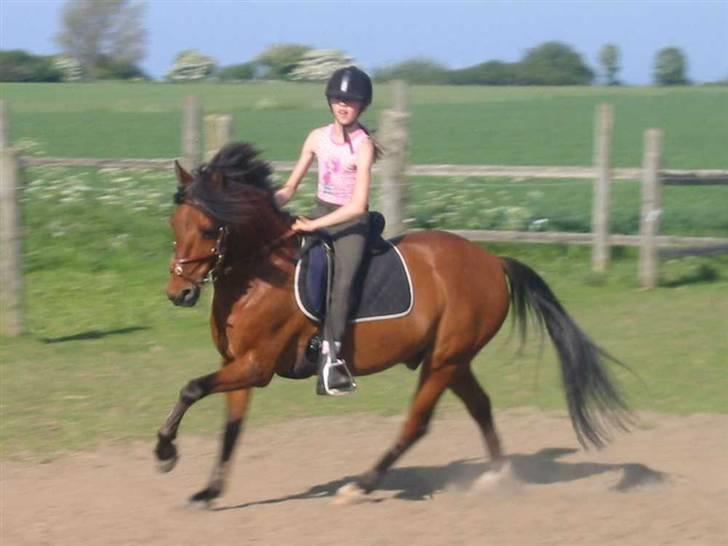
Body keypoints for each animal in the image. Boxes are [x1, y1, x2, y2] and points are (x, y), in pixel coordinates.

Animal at [155, 142, 630, 505]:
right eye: (174, 223)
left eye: (210, 228)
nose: (179, 293)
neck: (259, 273)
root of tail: (493, 261)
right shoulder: (237, 364)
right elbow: (230, 428)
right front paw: (209, 491)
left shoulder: (257, 366)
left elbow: (191, 388)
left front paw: (165, 451)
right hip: (453, 360)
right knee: (480, 406)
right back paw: (500, 478)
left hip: (442, 361)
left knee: (417, 423)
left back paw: (361, 486)